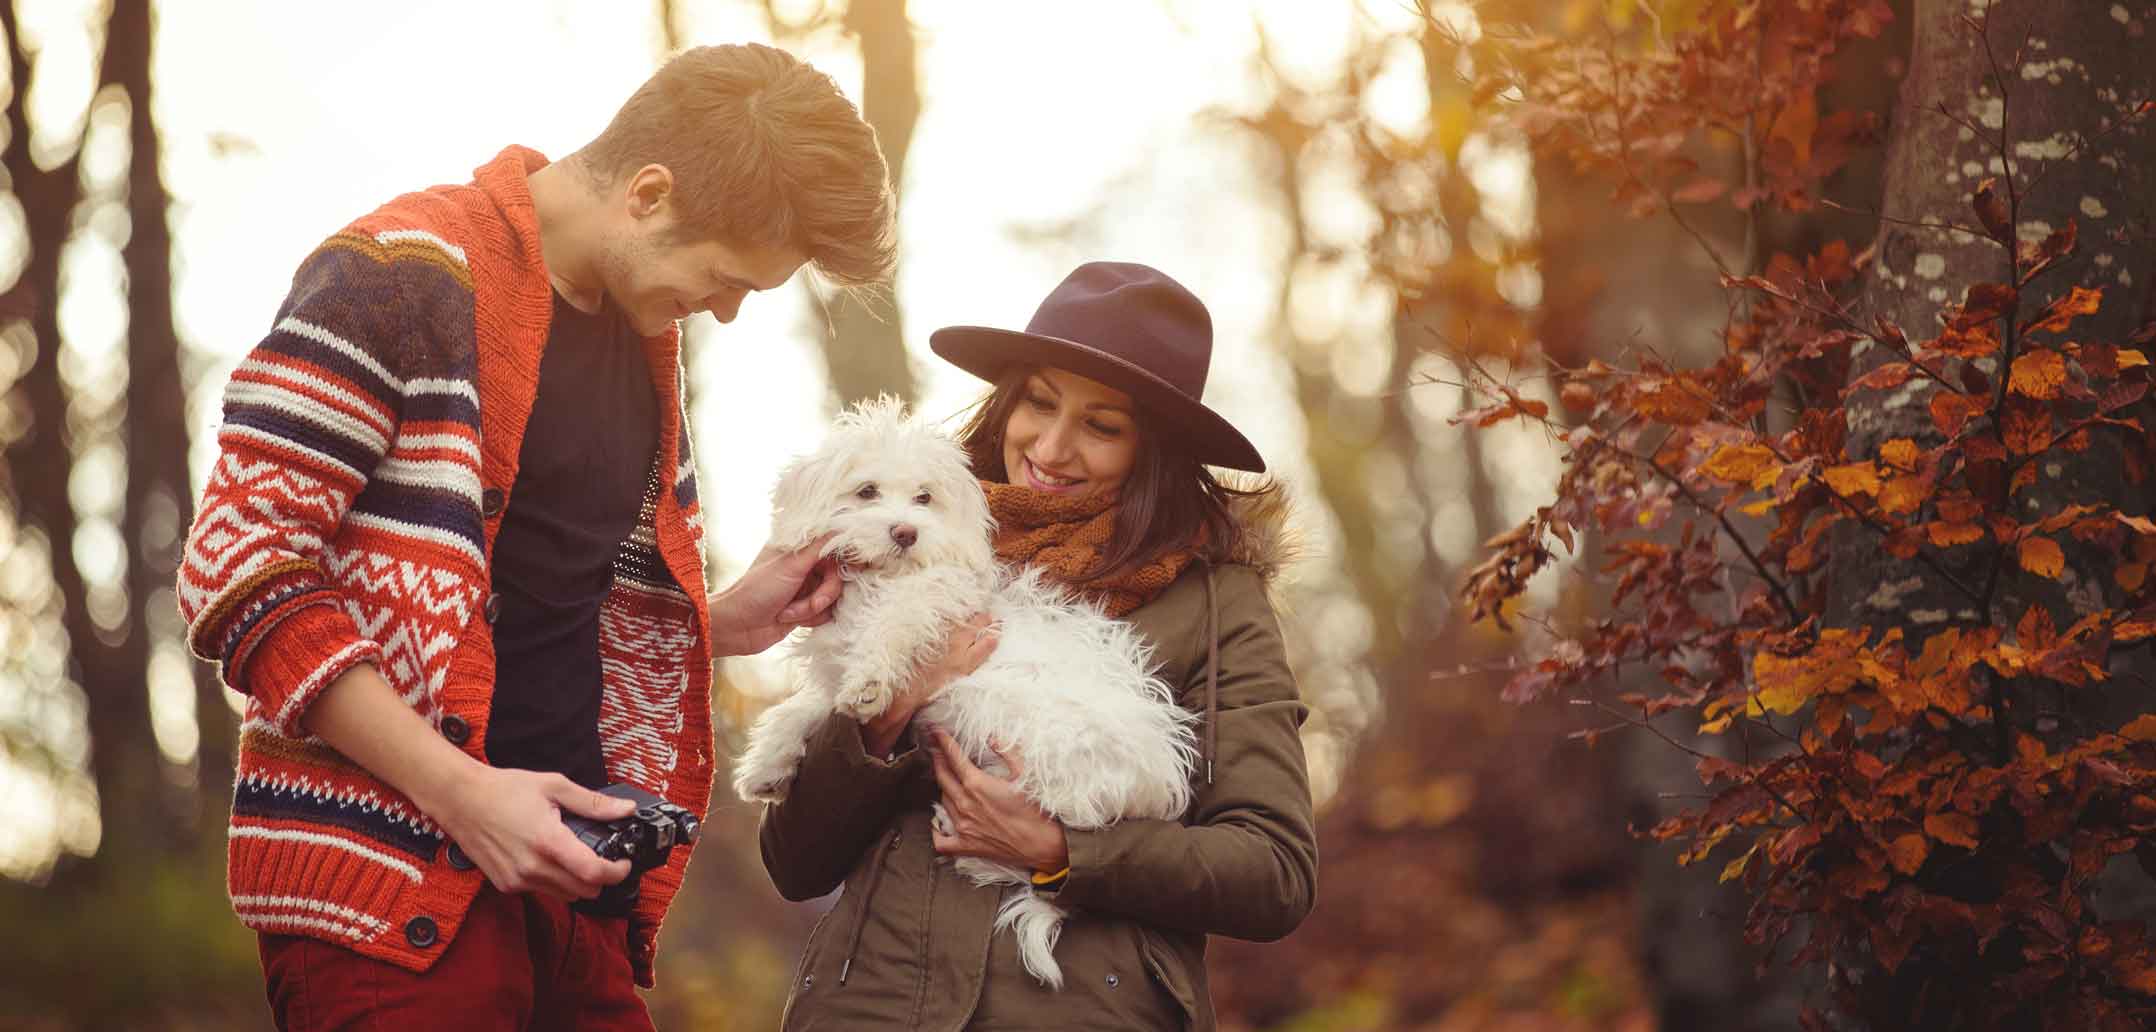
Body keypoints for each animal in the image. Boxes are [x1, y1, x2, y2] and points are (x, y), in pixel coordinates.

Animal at [728, 398, 1198, 995]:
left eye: (925, 498)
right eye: (866, 492)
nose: (906, 532)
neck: (882, 578)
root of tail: (1158, 783)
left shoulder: (934, 600)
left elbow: (894, 621)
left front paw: (870, 681)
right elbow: (806, 707)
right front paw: (768, 766)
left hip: (1042, 751)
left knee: (1056, 835)